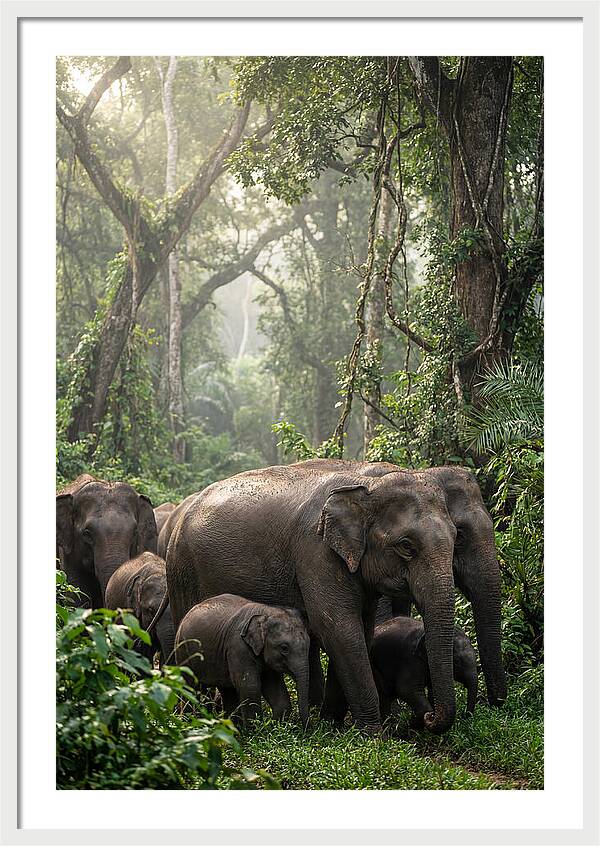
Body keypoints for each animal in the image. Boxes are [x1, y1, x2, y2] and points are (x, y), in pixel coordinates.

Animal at [175, 594, 311, 726]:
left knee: (226, 692)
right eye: (284, 648)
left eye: (309, 643)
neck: (266, 612)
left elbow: (276, 690)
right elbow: (249, 686)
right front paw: (255, 730)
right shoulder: (238, 647)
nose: (305, 728)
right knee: (190, 688)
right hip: (183, 652)